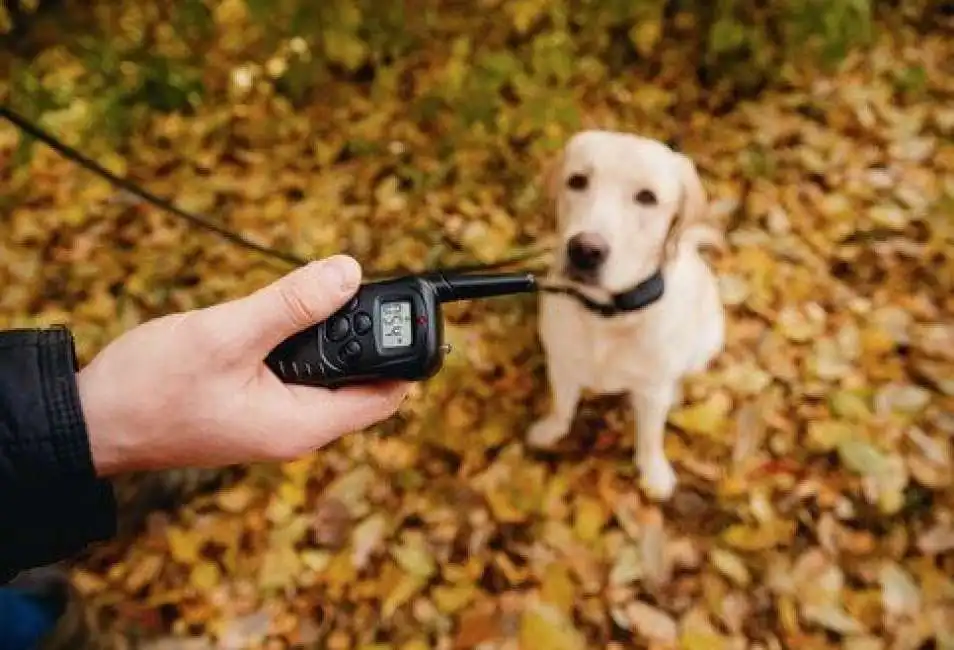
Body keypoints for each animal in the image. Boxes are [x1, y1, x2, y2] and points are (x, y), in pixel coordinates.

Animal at [528, 129, 720, 498]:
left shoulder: (651, 390)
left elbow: (650, 437)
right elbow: (562, 406)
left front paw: (654, 473)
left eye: (647, 197)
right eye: (577, 180)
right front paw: (550, 430)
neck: (607, 314)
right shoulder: (561, 365)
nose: (585, 250)